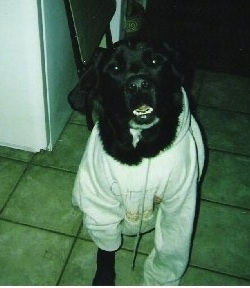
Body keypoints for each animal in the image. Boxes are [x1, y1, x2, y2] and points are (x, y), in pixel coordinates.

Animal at [69, 38, 204, 286]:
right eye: (114, 68)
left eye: (155, 61)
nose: (139, 85)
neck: (140, 149)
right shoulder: (100, 201)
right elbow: (106, 248)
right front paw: (104, 276)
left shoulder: (180, 203)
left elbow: (170, 249)